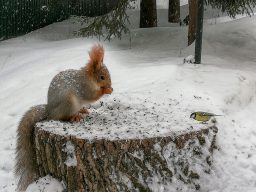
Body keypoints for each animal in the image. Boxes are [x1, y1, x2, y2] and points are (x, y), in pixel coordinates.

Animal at [14, 45, 112, 190]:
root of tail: (49, 111)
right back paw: (74, 117)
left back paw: (82, 110)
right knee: (63, 117)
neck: (88, 78)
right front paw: (106, 90)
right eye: (102, 77)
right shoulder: (83, 88)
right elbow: (91, 96)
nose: (110, 85)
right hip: (69, 102)